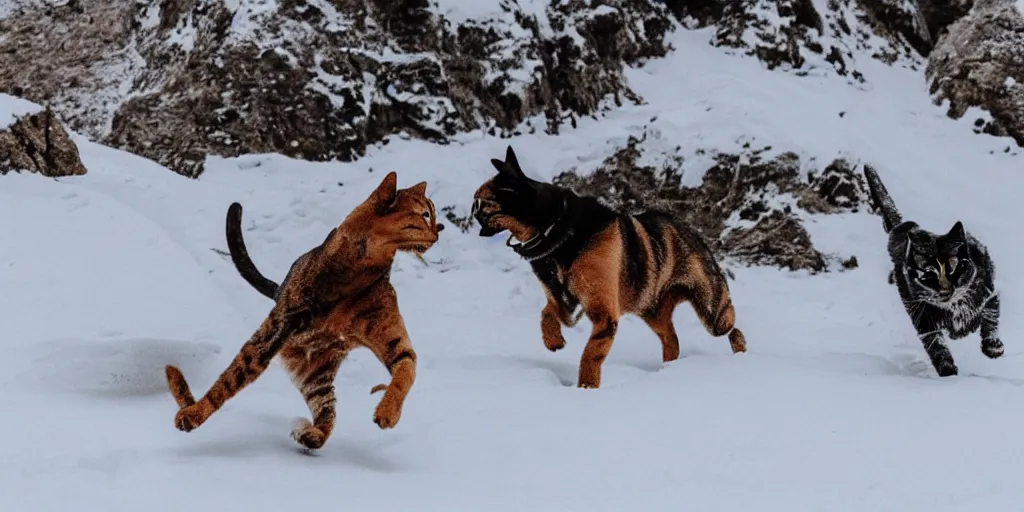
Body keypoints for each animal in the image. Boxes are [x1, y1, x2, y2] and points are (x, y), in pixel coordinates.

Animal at [162, 173, 440, 452]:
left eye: (433, 214)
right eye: (425, 214)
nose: (439, 230)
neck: (363, 268)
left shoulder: (393, 339)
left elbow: (406, 371)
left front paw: (388, 413)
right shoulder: (278, 328)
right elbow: (231, 378)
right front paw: (194, 413)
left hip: (317, 375)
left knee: (327, 412)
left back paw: (310, 434)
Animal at [864, 166, 999, 376]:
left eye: (952, 268)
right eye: (928, 275)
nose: (945, 290)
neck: (955, 306)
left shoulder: (990, 295)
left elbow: (989, 320)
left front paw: (993, 347)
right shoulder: (923, 319)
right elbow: (936, 346)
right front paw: (948, 373)